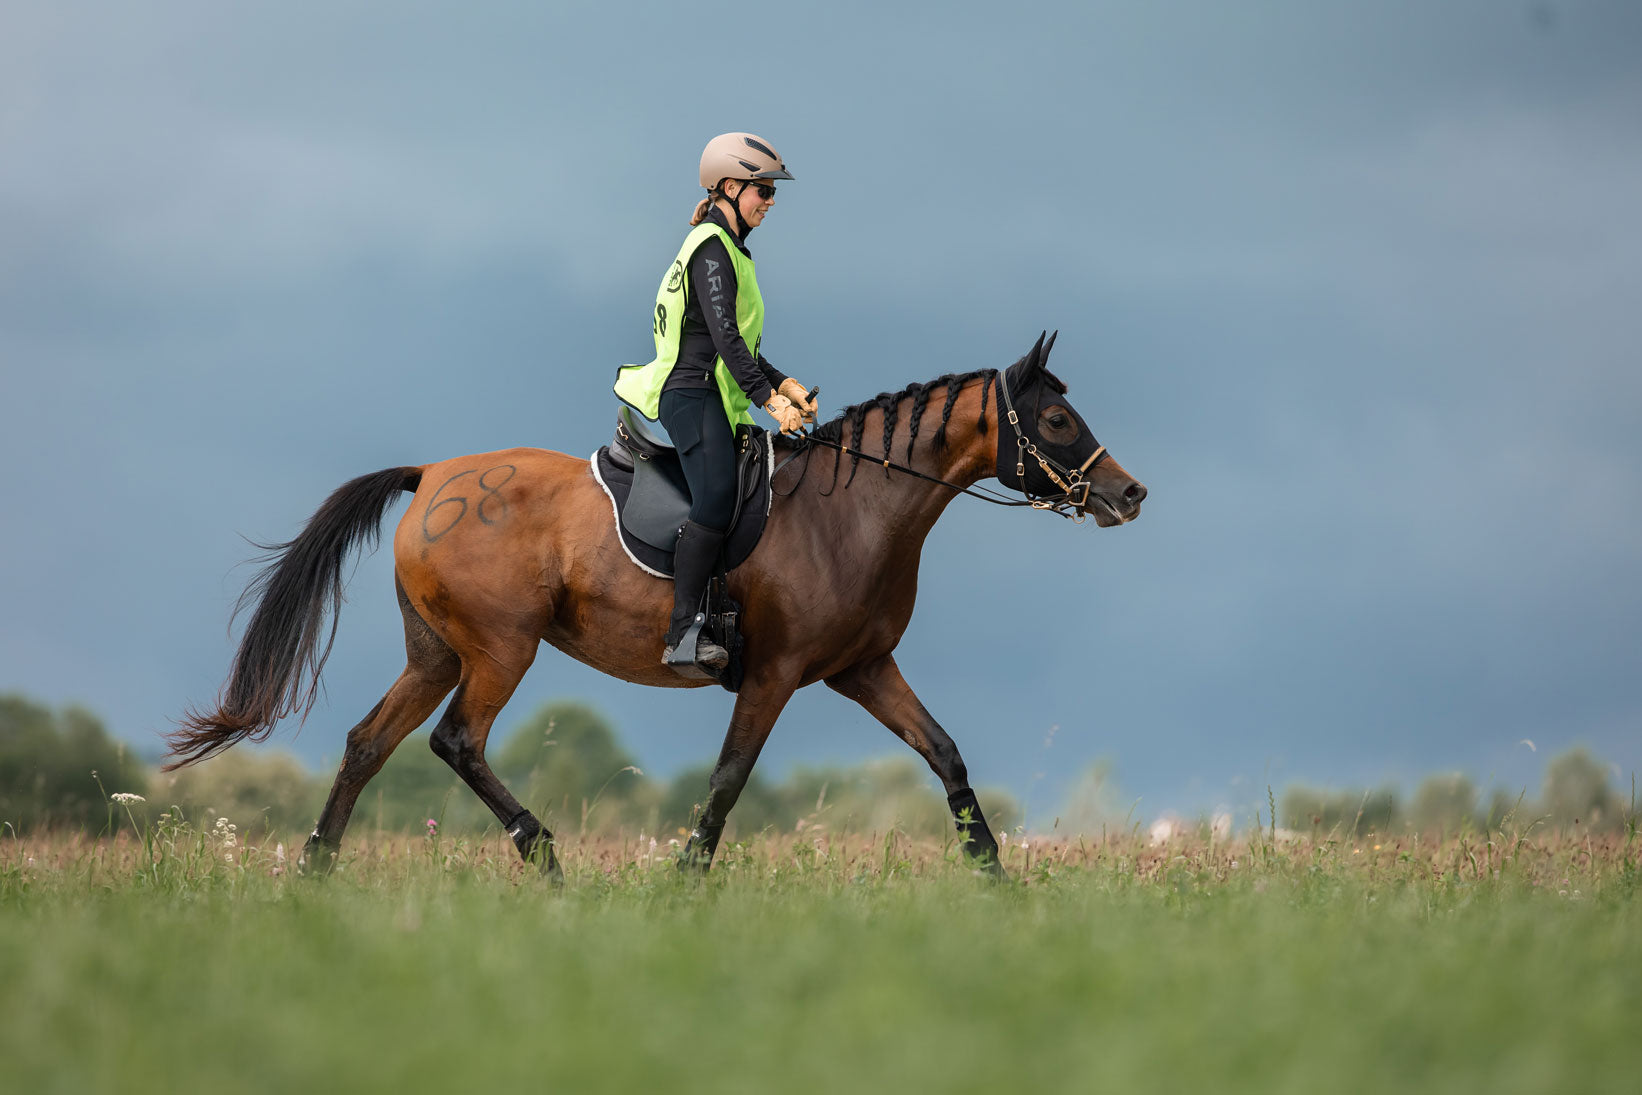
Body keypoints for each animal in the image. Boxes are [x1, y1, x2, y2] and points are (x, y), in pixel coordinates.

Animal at [163, 329, 1142, 879]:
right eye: (1057, 422)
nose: (1128, 495)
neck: (855, 508)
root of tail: (433, 476)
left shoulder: (863, 667)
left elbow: (944, 752)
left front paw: (993, 872)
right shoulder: (778, 672)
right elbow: (729, 777)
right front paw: (682, 881)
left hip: (436, 650)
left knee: (369, 742)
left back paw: (316, 873)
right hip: (501, 649)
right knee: (456, 740)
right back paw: (544, 852)